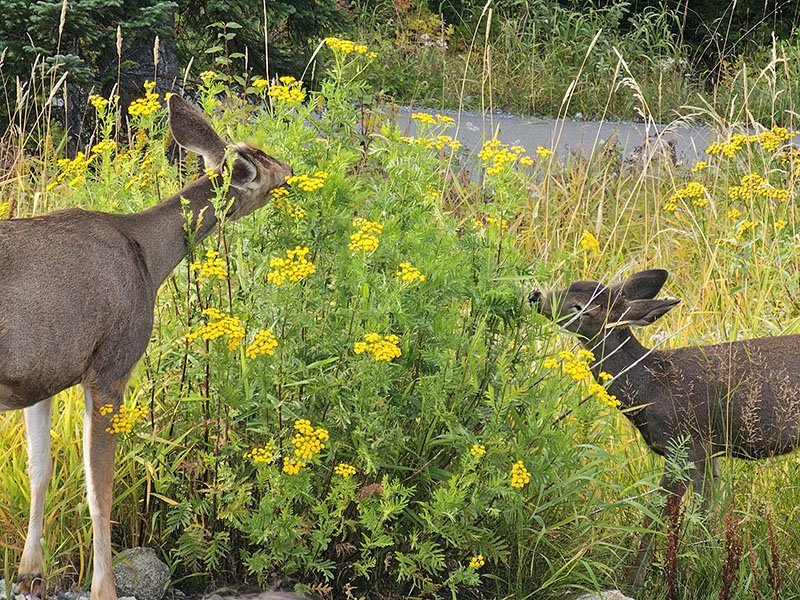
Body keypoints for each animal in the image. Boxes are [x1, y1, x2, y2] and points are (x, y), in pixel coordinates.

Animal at [3, 95, 290, 600]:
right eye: (262, 156)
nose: (291, 168)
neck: (148, 260)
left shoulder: (42, 377)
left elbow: (40, 472)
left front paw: (29, 573)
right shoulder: (110, 367)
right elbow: (100, 491)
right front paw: (105, 588)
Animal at [532, 270, 800, 584]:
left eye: (583, 308)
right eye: (572, 285)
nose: (536, 296)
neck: (649, 387)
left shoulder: (683, 444)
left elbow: (658, 512)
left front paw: (635, 579)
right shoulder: (708, 451)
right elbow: (708, 513)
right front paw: (711, 564)